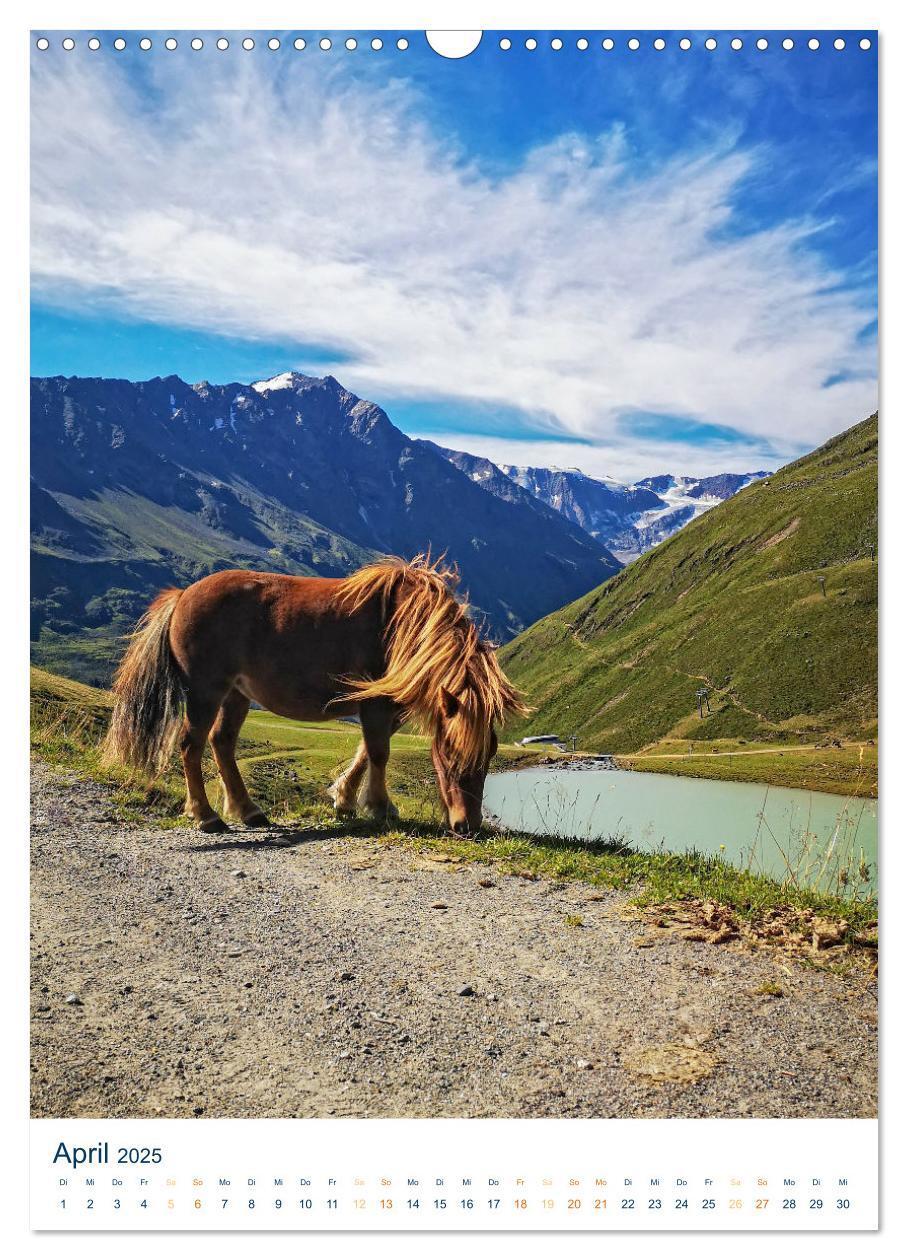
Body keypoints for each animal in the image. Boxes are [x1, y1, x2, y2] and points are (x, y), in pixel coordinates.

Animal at [100, 554, 523, 831]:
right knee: (192, 744)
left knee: (222, 743)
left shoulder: (386, 706)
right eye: (449, 753)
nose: (467, 825)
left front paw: (346, 800)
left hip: (236, 695)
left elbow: (367, 750)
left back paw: (248, 810)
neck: (402, 625)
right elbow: (379, 753)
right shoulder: (375, 702)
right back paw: (207, 816)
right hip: (206, 692)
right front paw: (379, 808)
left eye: (490, 754)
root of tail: (183, 595)